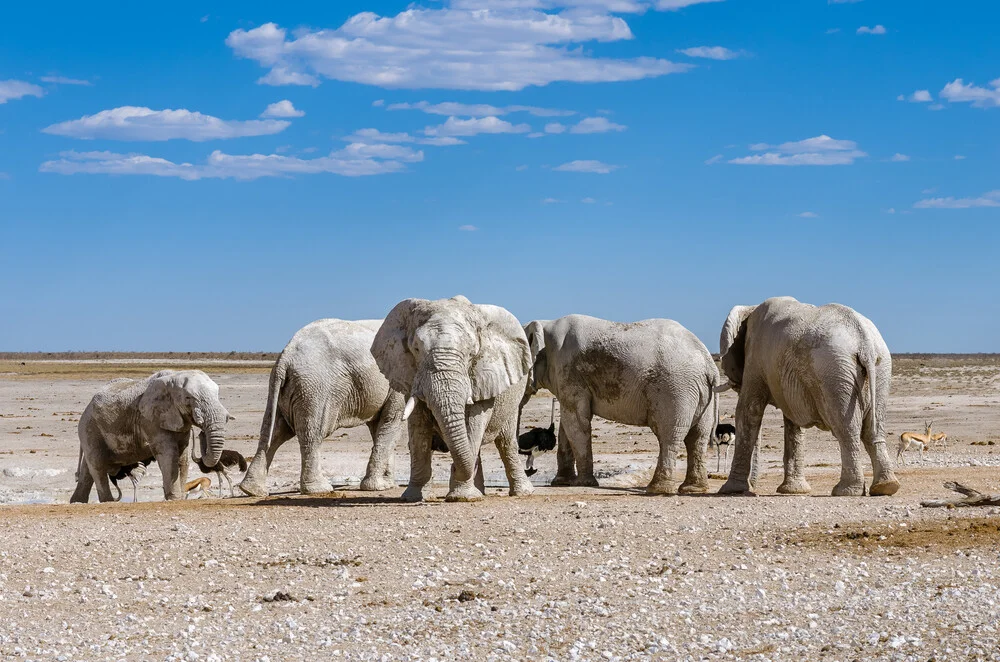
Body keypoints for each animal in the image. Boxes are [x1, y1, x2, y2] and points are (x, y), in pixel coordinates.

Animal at [73, 370, 233, 506]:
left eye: (217, 394)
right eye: (188, 397)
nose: (201, 433)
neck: (173, 377)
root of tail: (87, 407)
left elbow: (183, 457)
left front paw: (180, 497)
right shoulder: (151, 419)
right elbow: (168, 455)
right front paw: (174, 498)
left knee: (88, 467)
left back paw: (77, 501)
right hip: (89, 427)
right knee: (97, 464)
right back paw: (108, 501)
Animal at [237, 322, 402, 498]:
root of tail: (285, 358)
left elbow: (380, 426)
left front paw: (388, 484)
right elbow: (391, 421)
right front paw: (379, 487)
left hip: (285, 389)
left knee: (274, 432)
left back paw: (252, 490)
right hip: (315, 388)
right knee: (313, 434)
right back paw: (320, 489)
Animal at [372, 296, 536, 504]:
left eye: (472, 353)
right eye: (416, 349)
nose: (452, 468)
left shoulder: (482, 376)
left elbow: (474, 423)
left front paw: (461, 496)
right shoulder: (410, 373)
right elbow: (418, 429)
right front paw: (413, 497)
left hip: (513, 399)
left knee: (506, 443)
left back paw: (521, 492)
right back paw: (477, 491)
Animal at [524, 318, 720, 498]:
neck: (546, 323)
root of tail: (709, 363)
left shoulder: (569, 372)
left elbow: (576, 422)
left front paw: (583, 483)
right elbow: (567, 425)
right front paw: (561, 483)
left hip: (674, 389)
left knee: (669, 435)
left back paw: (657, 490)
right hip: (699, 393)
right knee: (697, 437)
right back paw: (692, 489)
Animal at [720, 296, 900, 498]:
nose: (753, 488)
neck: (750, 310)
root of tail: (864, 342)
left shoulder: (755, 358)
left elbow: (749, 410)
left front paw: (731, 490)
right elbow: (792, 420)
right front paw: (792, 491)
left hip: (834, 372)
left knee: (846, 428)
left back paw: (845, 491)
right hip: (880, 367)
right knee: (872, 429)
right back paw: (886, 487)